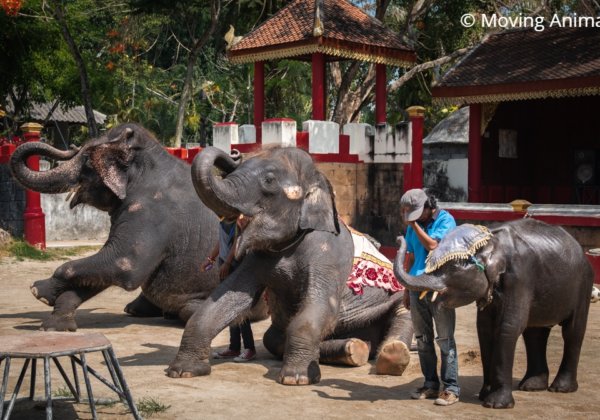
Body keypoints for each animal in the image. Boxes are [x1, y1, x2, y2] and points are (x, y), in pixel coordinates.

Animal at [10, 123, 237, 330]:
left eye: (87, 160)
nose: (72, 146)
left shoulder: (151, 213)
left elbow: (123, 263)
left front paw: (37, 290)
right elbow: (104, 267)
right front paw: (56, 325)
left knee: (189, 310)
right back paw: (139, 310)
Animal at [166, 146, 414, 386]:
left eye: (268, 180)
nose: (234, 153)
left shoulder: (329, 254)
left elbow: (321, 306)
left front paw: (296, 378)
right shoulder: (257, 258)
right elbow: (228, 298)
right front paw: (183, 371)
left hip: (394, 300)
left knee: (404, 315)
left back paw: (392, 355)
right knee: (273, 338)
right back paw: (354, 348)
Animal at [392, 220, 592, 406]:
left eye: (452, 268)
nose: (399, 237)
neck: (491, 243)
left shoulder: (520, 278)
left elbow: (508, 327)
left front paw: (495, 404)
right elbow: (484, 329)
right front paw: (483, 395)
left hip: (583, 285)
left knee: (572, 331)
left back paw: (560, 388)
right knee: (535, 333)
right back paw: (531, 386)